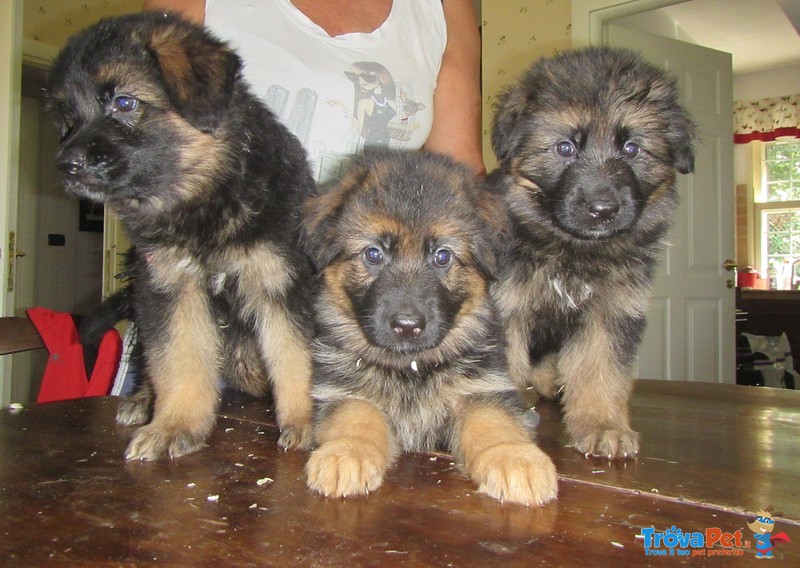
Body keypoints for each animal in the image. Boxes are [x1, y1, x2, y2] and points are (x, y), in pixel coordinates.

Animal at [45, 13, 316, 462]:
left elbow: (301, 356)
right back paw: (142, 400)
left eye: (124, 103)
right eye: (68, 119)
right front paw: (176, 425)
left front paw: (313, 421)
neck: (206, 196)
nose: (66, 166)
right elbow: (181, 358)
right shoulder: (171, 287)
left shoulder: (286, 283)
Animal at [298, 151, 556, 506]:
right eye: (373, 254)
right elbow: (354, 417)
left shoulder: (481, 388)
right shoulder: (343, 391)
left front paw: (514, 457)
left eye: (442, 256)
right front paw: (346, 453)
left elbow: (494, 422)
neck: (411, 367)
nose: (407, 326)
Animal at [488, 46, 692, 460]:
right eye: (565, 147)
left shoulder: (610, 312)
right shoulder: (506, 307)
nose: (603, 209)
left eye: (631, 149)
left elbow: (600, 372)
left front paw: (602, 426)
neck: (575, 252)